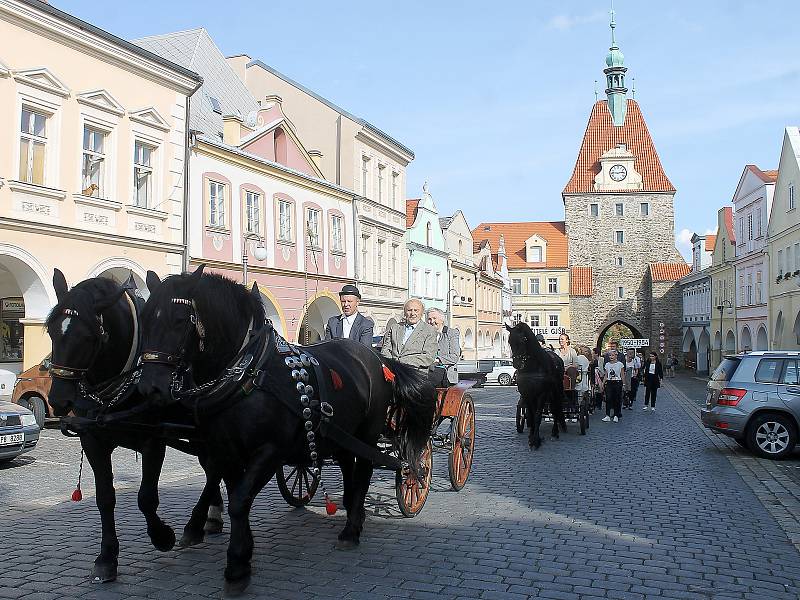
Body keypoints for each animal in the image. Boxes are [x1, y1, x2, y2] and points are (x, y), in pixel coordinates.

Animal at [45, 270, 223, 580]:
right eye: (52, 331)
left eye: (88, 336)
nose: (58, 399)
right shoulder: (93, 440)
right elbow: (105, 497)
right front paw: (107, 557)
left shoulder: (153, 440)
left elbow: (146, 497)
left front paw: (162, 536)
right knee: (214, 467)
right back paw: (212, 515)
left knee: (215, 469)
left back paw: (196, 524)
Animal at [138, 268, 438, 596]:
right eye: (144, 319)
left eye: (180, 320)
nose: (150, 387)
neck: (248, 373)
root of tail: (378, 358)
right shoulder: (225, 451)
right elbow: (236, 497)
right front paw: (241, 555)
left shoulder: (269, 452)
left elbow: (239, 501)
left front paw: (236, 565)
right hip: (340, 434)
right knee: (348, 465)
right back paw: (349, 508)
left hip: (367, 434)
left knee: (365, 471)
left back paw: (353, 528)